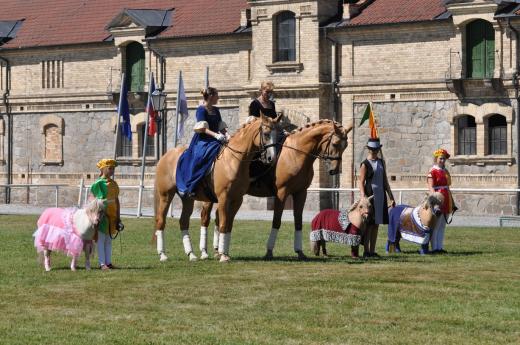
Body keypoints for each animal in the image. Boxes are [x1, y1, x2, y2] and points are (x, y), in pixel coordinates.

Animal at [153, 113, 280, 260]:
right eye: (266, 134)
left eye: (277, 134)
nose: (272, 158)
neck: (233, 160)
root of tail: (165, 156)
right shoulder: (224, 198)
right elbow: (223, 224)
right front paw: (223, 256)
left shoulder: (237, 200)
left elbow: (229, 225)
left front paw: (224, 253)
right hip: (166, 196)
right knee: (161, 221)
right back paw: (162, 254)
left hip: (187, 198)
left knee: (184, 221)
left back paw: (191, 254)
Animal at [201, 119, 352, 260]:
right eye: (335, 144)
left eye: (346, 146)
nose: (334, 170)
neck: (295, 154)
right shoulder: (282, 193)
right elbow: (276, 221)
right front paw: (269, 251)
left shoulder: (301, 193)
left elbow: (298, 221)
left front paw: (299, 251)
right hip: (212, 197)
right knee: (206, 217)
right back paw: (206, 252)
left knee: (219, 218)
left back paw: (217, 250)